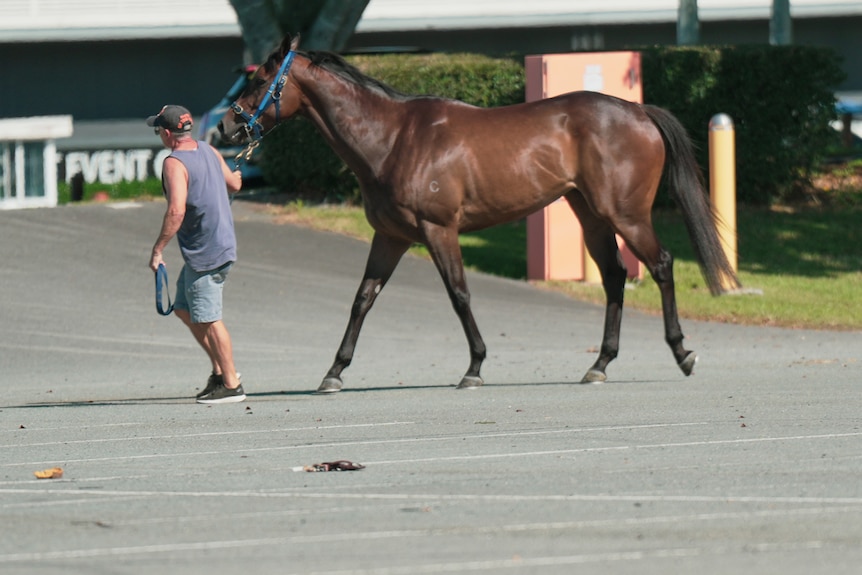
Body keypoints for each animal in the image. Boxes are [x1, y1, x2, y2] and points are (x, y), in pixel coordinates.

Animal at [220, 35, 741, 393]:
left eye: (260, 80)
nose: (226, 126)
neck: (393, 138)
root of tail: (638, 111)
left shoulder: (439, 230)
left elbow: (459, 294)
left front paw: (474, 366)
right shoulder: (390, 237)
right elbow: (362, 299)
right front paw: (334, 371)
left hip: (626, 214)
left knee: (660, 265)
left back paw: (682, 353)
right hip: (591, 215)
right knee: (615, 277)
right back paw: (599, 365)